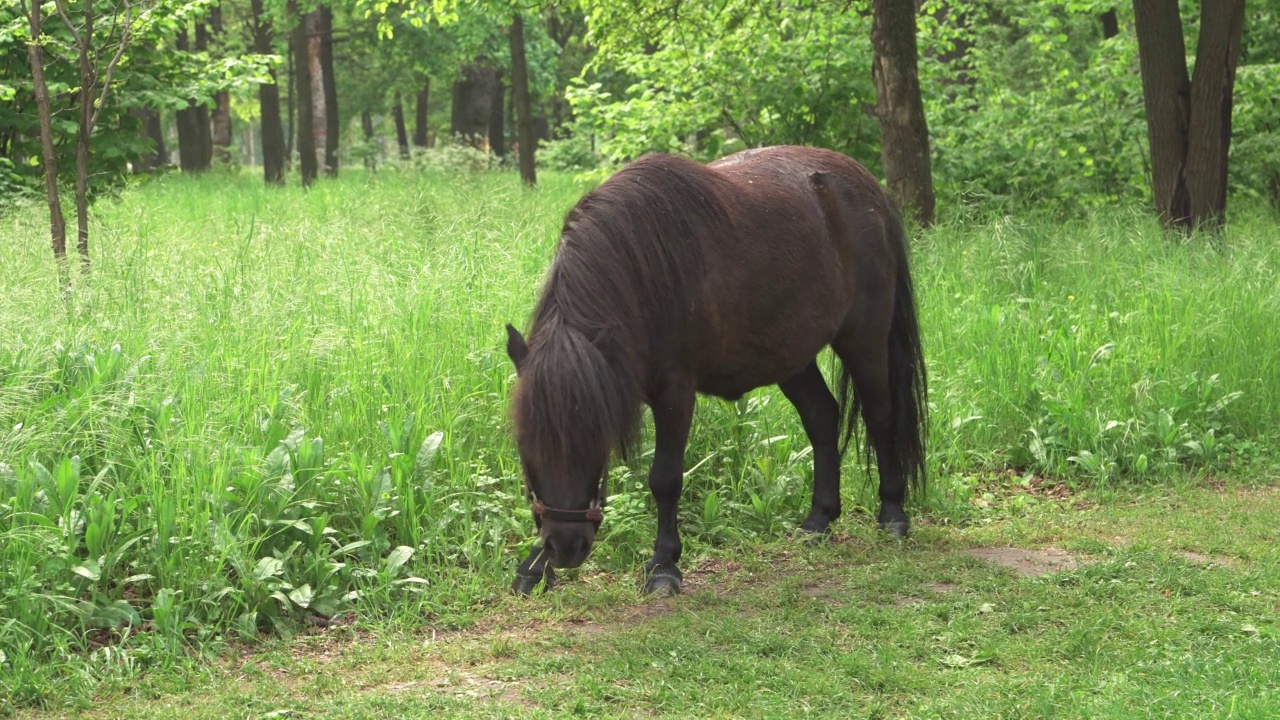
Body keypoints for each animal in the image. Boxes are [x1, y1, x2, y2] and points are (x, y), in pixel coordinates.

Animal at [501, 142, 931, 591]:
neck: (643, 267)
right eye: (526, 443)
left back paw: (893, 515)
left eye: (597, 439)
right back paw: (819, 520)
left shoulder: (675, 392)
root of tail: (871, 190)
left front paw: (664, 565)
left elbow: (665, 478)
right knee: (822, 418)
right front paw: (534, 566)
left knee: (880, 416)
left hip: (864, 341)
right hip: (791, 357)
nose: (566, 547)